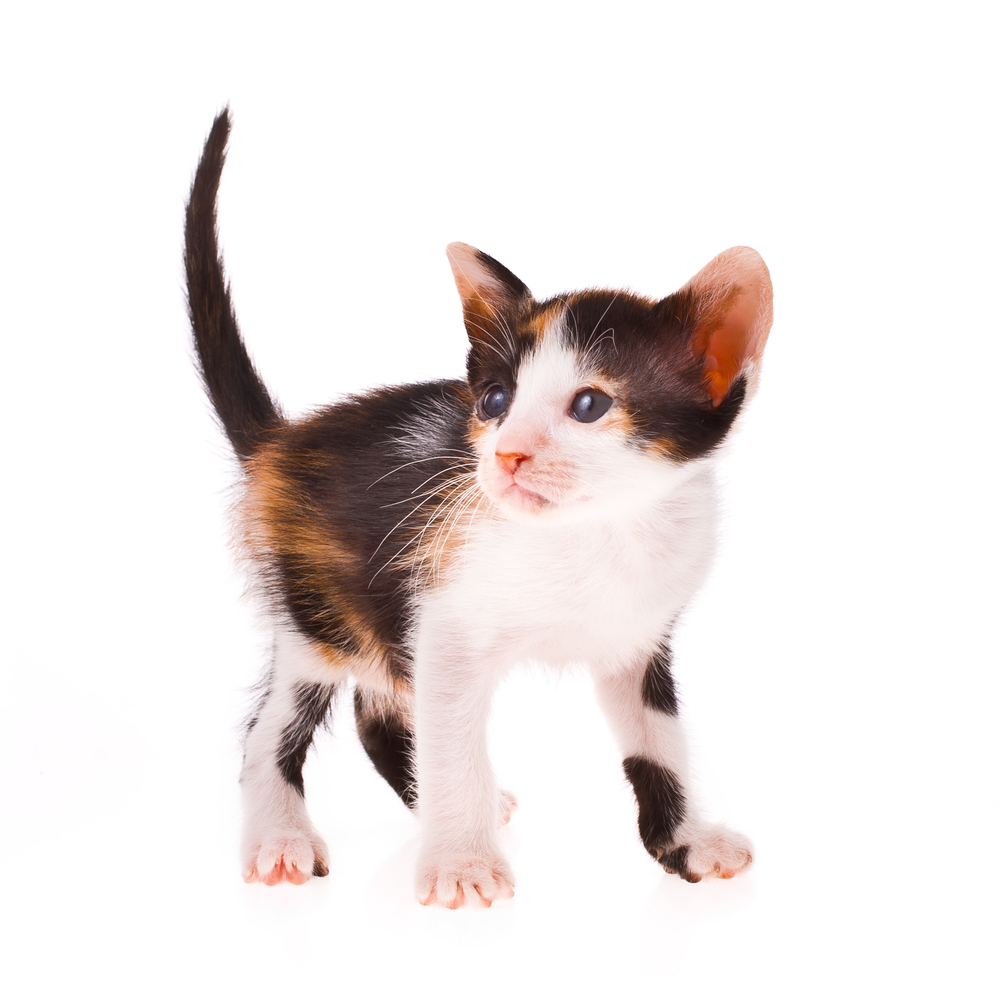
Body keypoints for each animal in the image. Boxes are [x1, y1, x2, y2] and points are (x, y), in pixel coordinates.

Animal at [186, 109, 772, 908]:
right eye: (494, 400)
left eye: (590, 405)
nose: (507, 455)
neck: (596, 533)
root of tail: (285, 440)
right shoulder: (445, 622)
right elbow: (452, 739)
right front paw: (462, 862)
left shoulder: (639, 636)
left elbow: (660, 745)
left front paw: (687, 844)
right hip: (317, 609)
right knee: (270, 726)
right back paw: (282, 840)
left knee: (377, 710)